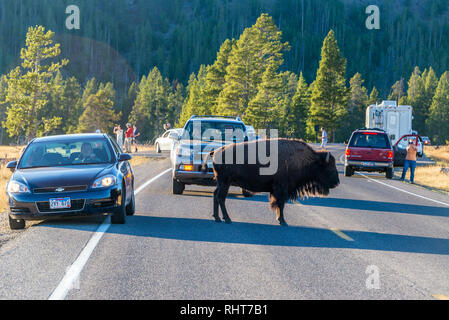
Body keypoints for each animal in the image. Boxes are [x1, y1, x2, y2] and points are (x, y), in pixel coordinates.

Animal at [201, 139, 338, 226]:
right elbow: (280, 204)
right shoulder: (281, 189)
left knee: (216, 195)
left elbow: (279, 204)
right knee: (221, 198)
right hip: (225, 182)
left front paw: (280, 220)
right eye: (330, 166)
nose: (337, 182)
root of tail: (216, 151)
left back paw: (217, 218)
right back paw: (227, 219)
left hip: (222, 182)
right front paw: (282, 221)